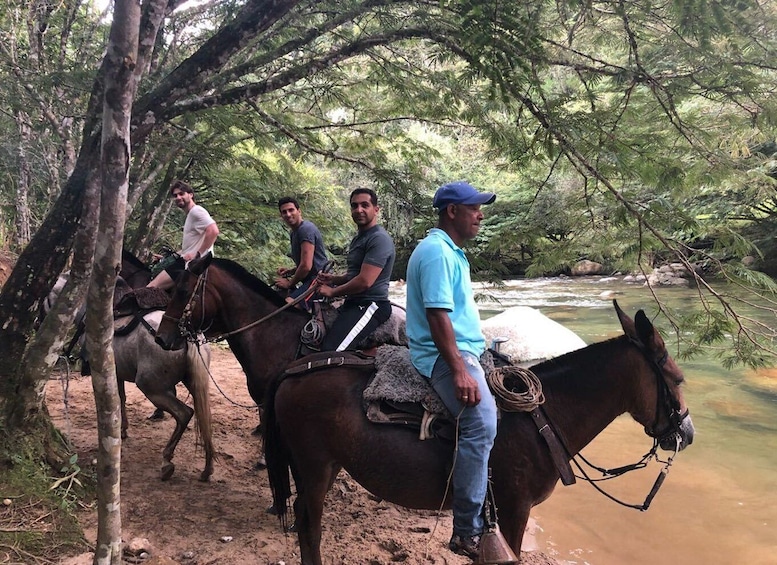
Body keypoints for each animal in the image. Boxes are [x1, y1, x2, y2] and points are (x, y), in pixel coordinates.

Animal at [264, 302, 696, 560]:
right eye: (678, 378)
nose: (687, 434)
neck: (543, 416)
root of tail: (294, 370)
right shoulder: (514, 510)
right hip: (313, 466)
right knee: (310, 526)